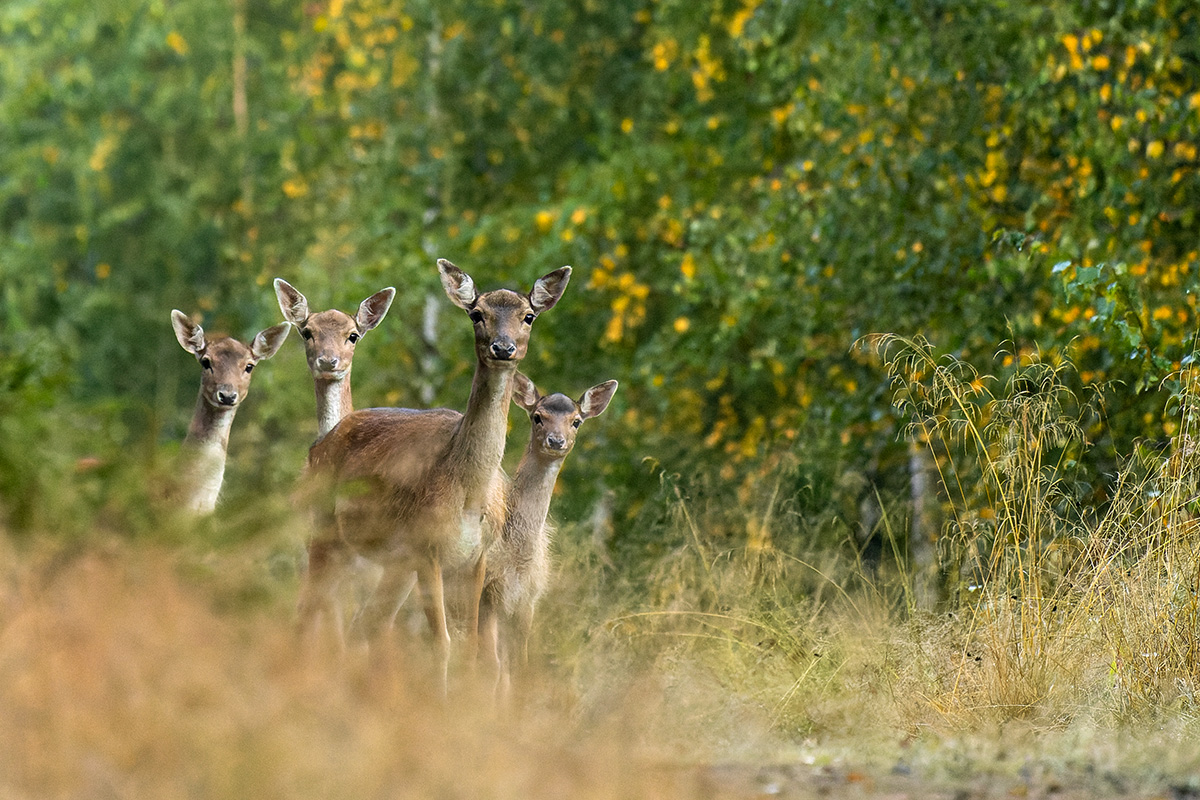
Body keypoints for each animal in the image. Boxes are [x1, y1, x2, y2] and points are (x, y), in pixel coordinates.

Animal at [299, 259, 571, 685]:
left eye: (528, 315)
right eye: (477, 313)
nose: (503, 347)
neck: (468, 492)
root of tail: (318, 445)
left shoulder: (476, 557)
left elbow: (473, 647)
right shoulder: (426, 547)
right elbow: (440, 643)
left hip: (390, 563)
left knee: (367, 622)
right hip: (326, 531)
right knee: (309, 611)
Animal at [478, 372, 617, 695]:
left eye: (576, 420)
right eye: (537, 416)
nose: (556, 440)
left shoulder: (526, 599)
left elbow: (517, 669)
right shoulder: (487, 591)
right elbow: (490, 668)